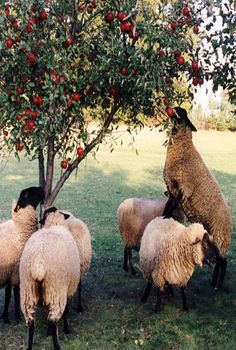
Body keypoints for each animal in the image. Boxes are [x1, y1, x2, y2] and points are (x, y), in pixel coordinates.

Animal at [0, 186, 44, 322]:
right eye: (28, 193)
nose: (42, 189)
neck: (19, 229)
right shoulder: (16, 272)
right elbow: (15, 294)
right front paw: (17, 317)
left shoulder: (10, 272)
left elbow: (8, 294)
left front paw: (5, 316)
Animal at [19, 209, 80, 350]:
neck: (54, 223)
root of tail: (38, 263)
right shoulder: (68, 289)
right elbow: (67, 310)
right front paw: (66, 329)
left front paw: (47, 333)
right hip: (56, 289)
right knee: (53, 320)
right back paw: (57, 345)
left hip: (28, 290)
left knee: (31, 321)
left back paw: (29, 346)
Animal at [162, 107, 232, 290]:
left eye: (182, 114)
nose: (172, 108)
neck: (183, 149)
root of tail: (230, 222)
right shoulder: (173, 189)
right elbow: (167, 208)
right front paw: (162, 219)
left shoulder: (183, 188)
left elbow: (170, 208)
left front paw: (164, 220)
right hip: (213, 237)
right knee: (219, 261)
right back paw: (214, 282)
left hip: (220, 236)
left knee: (223, 261)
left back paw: (218, 285)